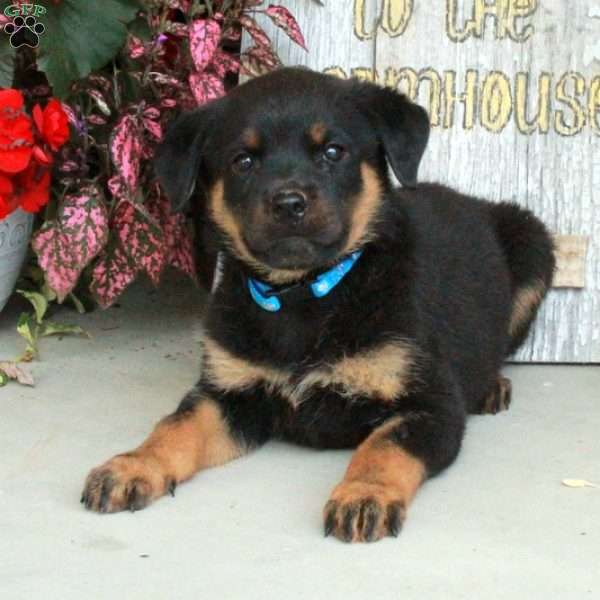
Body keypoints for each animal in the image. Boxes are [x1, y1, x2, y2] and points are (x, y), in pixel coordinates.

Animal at [82, 67, 556, 544]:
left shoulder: (431, 405)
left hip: (534, 244)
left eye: (333, 151)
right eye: (243, 161)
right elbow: (175, 426)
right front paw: (132, 465)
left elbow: (383, 447)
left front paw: (364, 495)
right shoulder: (228, 393)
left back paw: (492, 386)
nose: (289, 202)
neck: (305, 292)